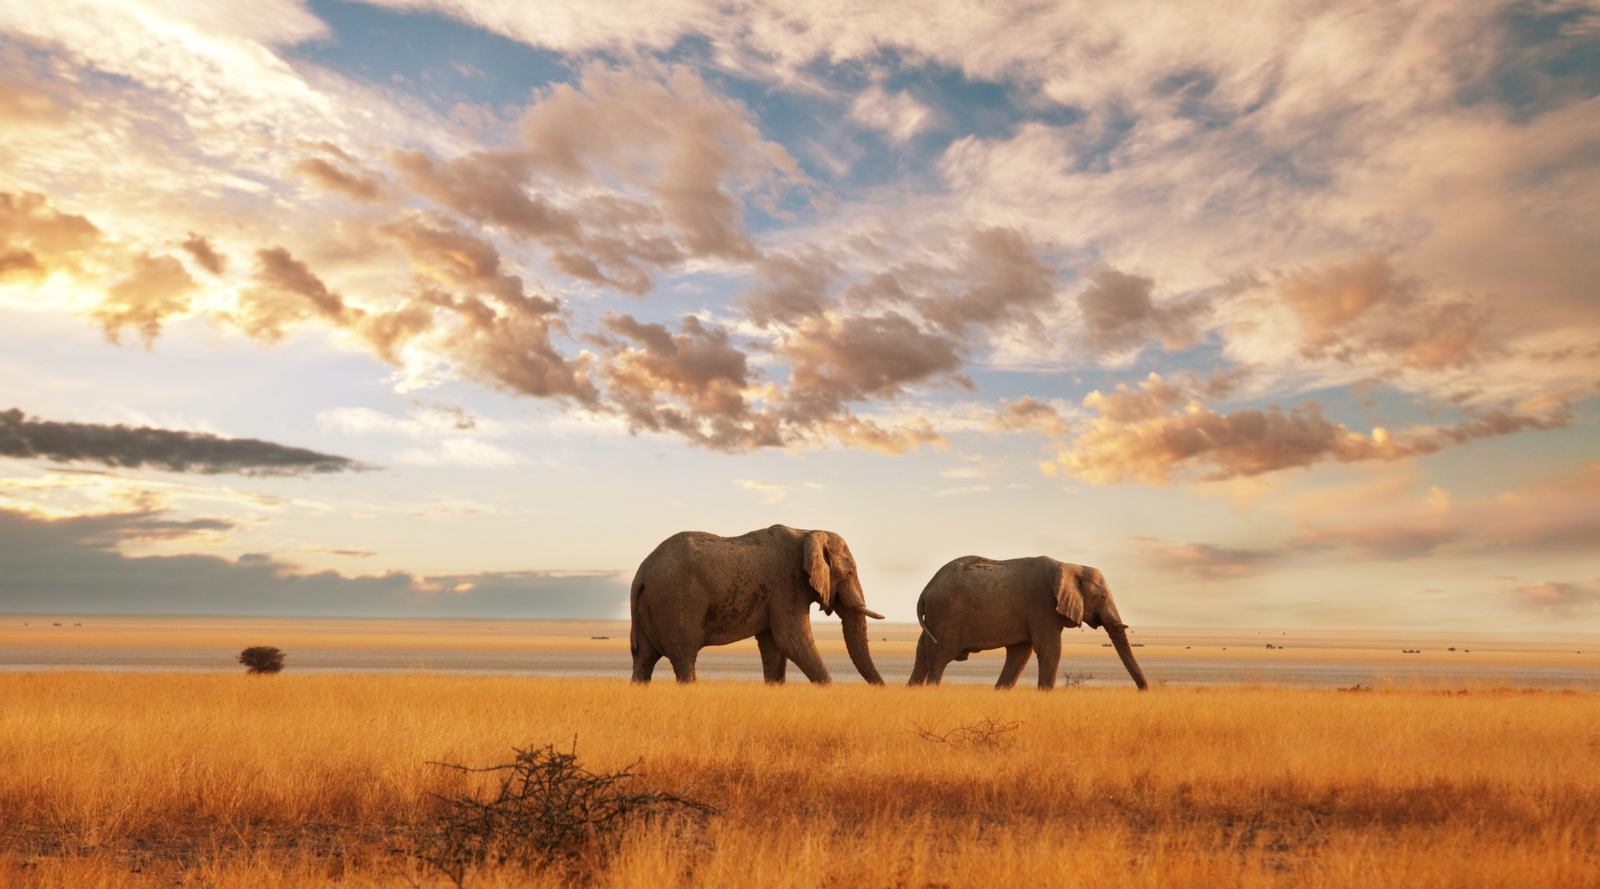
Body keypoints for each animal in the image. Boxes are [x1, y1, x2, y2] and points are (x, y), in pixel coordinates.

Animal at [629, 524, 887, 685]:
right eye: (849, 572)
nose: (882, 689)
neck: (809, 532)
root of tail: (642, 571)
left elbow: (774, 647)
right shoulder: (788, 585)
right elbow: (791, 641)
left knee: (644, 658)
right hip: (676, 602)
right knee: (684, 657)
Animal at [908, 555, 1148, 690]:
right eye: (1103, 598)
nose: (1143, 690)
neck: (1070, 566)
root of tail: (926, 589)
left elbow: (1020, 653)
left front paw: (1000, 692)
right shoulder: (1043, 606)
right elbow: (1049, 649)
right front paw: (1045, 694)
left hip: (936, 617)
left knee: (922, 654)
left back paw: (912, 690)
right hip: (946, 614)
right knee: (940, 656)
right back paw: (931, 690)